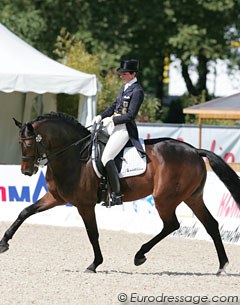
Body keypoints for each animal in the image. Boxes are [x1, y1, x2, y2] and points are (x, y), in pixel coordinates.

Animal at [0, 111, 240, 274]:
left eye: (29, 144)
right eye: (20, 143)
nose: (26, 171)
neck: (74, 155)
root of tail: (194, 150)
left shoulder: (84, 205)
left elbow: (92, 233)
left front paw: (94, 264)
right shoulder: (56, 198)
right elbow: (25, 212)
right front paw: (4, 243)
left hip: (165, 198)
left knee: (172, 224)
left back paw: (139, 255)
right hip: (192, 197)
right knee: (211, 225)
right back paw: (222, 266)